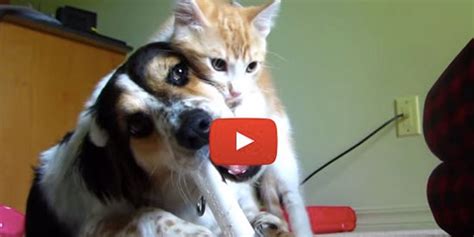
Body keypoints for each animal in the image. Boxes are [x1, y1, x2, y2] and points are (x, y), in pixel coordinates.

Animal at [25, 41, 288, 236]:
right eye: (137, 125)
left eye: (179, 72)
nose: (197, 128)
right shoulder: (93, 225)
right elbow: (149, 213)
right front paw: (196, 232)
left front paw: (267, 223)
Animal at [153, 0, 314, 236]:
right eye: (218, 64)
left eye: (251, 66)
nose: (236, 92)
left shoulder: (253, 96)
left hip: (282, 147)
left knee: (290, 194)